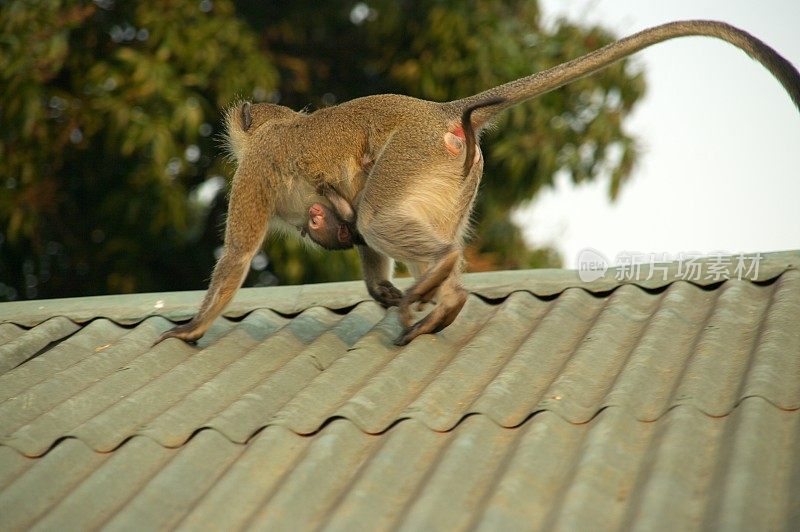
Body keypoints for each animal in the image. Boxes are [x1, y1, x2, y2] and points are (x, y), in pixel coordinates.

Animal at [155, 19, 800, 344]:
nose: (318, 226)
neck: (281, 126)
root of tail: (443, 111)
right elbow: (357, 234)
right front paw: (381, 289)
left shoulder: (256, 172)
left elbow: (240, 254)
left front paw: (191, 328)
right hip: (453, 173)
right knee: (402, 224)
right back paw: (445, 300)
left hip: (411, 154)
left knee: (381, 217)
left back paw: (442, 281)